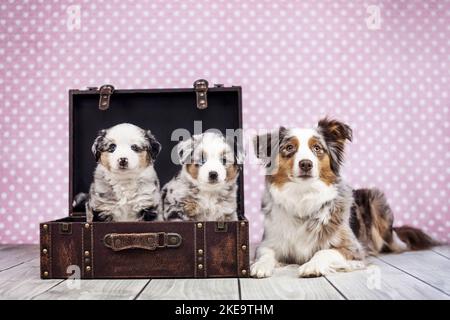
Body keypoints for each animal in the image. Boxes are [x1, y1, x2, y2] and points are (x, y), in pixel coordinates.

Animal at [251, 118, 434, 278]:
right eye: (289, 147)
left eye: (317, 148)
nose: (306, 164)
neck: (303, 197)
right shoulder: (269, 242)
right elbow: (266, 253)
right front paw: (260, 265)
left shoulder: (353, 249)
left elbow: (324, 251)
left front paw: (312, 266)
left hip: (375, 199)